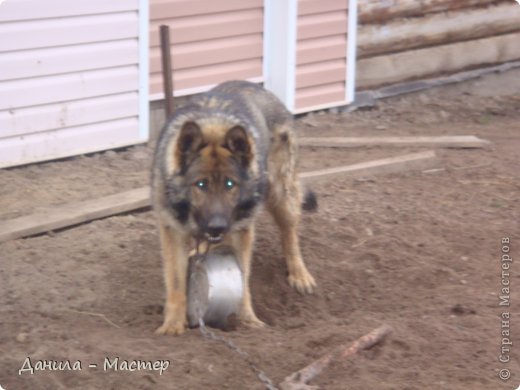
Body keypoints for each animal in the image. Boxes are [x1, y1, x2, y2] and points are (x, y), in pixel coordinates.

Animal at [151, 80, 316, 336]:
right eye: (201, 184)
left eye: (230, 184)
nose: (217, 225)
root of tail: (257, 87)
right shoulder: (173, 231)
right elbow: (176, 283)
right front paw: (172, 326)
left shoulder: (241, 232)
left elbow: (243, 278)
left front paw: (247, 319)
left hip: (282, 195)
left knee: (290, 235)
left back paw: (299, 274)